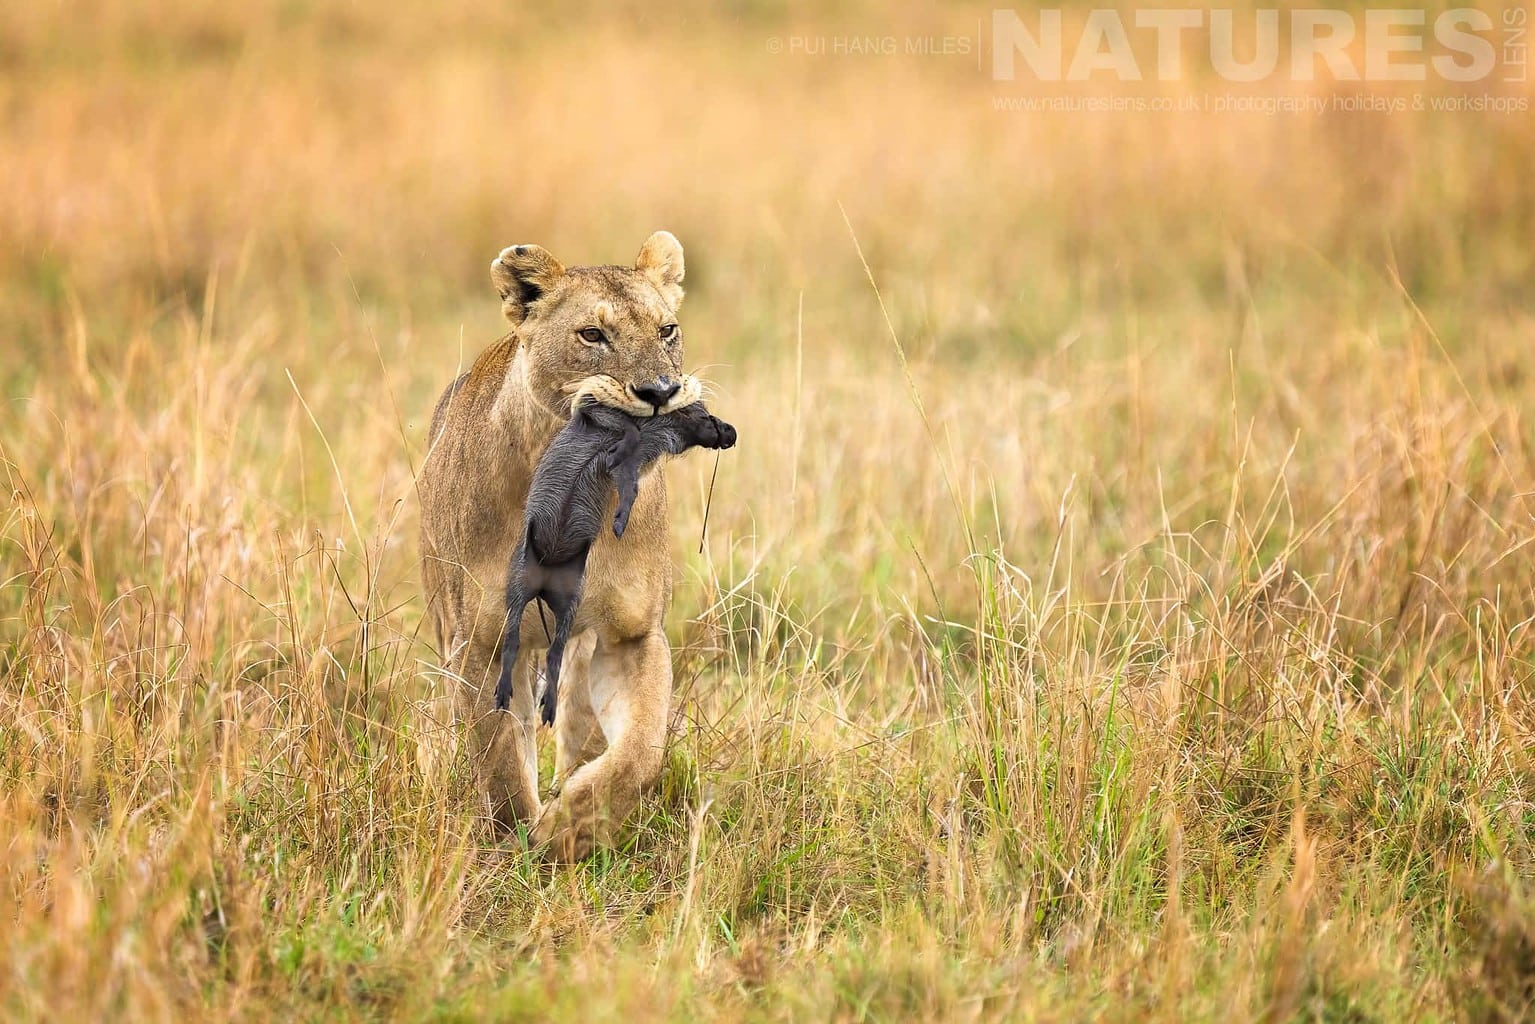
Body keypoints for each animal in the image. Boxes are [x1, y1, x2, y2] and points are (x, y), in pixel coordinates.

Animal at [418, 231, 705, 861]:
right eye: (592, 335)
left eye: (667, 330)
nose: (659, 392)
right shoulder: (480, 642)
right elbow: (499, 759)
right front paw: (518, 841)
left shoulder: (632, 636)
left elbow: (639, 753)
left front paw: (569, 830)